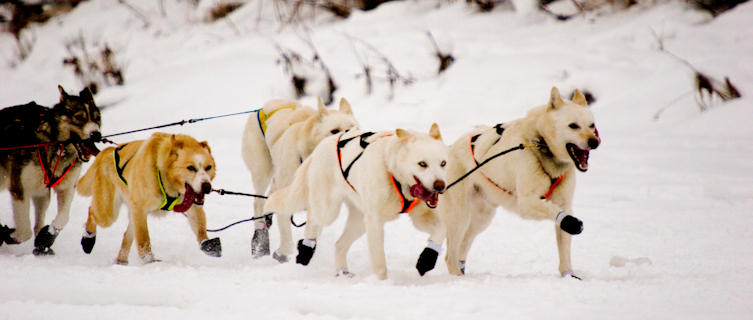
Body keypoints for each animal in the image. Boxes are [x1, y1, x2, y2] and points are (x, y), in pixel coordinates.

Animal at [76, 131, 220, 264]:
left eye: (208, 167)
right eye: (191, 167)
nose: (207, 186)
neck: (164, 175)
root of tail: (106, 152)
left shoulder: (193, 207)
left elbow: (200, 228)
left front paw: (208, 244)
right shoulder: (139, 209)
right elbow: (144, 240)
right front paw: (149, 261)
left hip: (131, 214)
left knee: (127, 235)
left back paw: (121, 260)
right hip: (109, 213)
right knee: (92, 211)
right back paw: (88, 239)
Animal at [264, 124, 450, 278]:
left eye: (443, 163)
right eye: (422, 164)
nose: (440, 185)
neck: (393, 173)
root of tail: (320, 147)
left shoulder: (419, 217)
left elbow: (441, 228)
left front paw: (427, 258)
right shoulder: (375, 222)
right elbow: (379, 263)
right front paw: (382, 283)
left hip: (359, 221)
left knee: (339, 244)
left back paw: (342, 272)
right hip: (329, 211)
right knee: (312, 221)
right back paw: (305, 252)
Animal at [440, 88, 600, 280]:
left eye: (591, 125)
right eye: (573, 125)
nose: (595, 142)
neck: (542, 146)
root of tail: (451, 148)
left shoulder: (564, 203)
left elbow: (564, 246)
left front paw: (568, 275)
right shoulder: (526, 202)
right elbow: (556, 213)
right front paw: (571, 223)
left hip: (482, 218)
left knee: (464, 243)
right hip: (460, 215)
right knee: (450, 254)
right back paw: (456, 275)